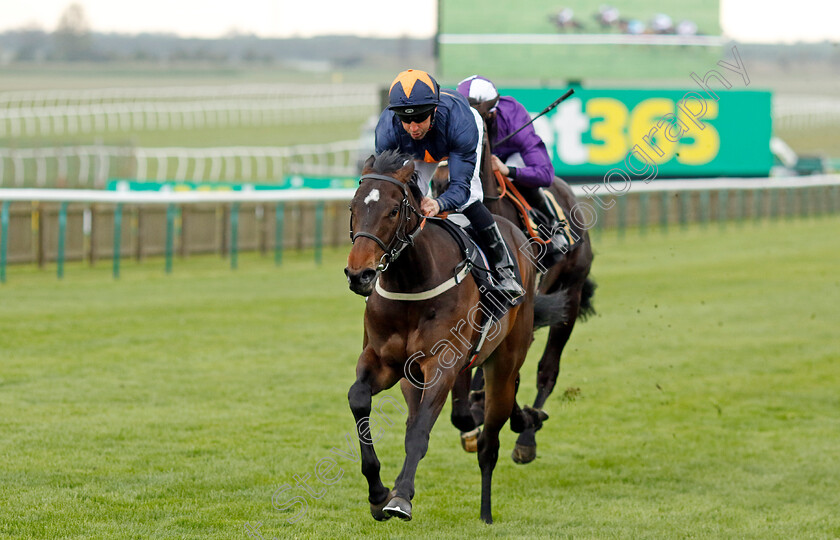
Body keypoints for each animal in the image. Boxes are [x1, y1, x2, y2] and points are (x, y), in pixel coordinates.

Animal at [342, 151, 564, 524]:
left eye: (393, 210)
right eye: (353, 206)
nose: (360, 274)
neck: (412, 283)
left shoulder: (440, 366)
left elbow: (420, 432)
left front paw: (400, 497)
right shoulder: (383, 362)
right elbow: (359, 399)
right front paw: (378, 493)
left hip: (504, 360)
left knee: (491, 440)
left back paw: (487, 510)